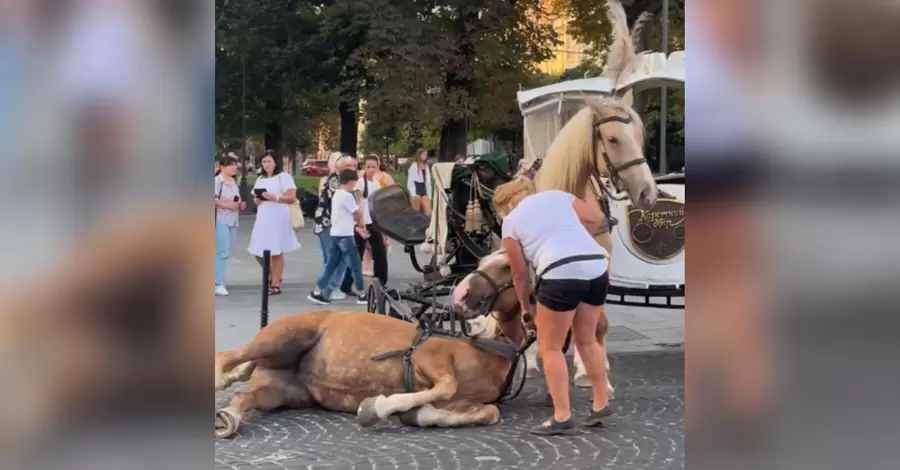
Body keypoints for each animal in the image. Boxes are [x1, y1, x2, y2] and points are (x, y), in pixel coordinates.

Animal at [215, 308, 528, 436]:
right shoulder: (428, 358)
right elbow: (447, 384)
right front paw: (377, 407)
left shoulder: (461, 401)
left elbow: (490, 413)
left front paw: (419, 415)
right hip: (286, 337)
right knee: (227, 358)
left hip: (283, 393)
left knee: (242, 397)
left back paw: (229, 417)